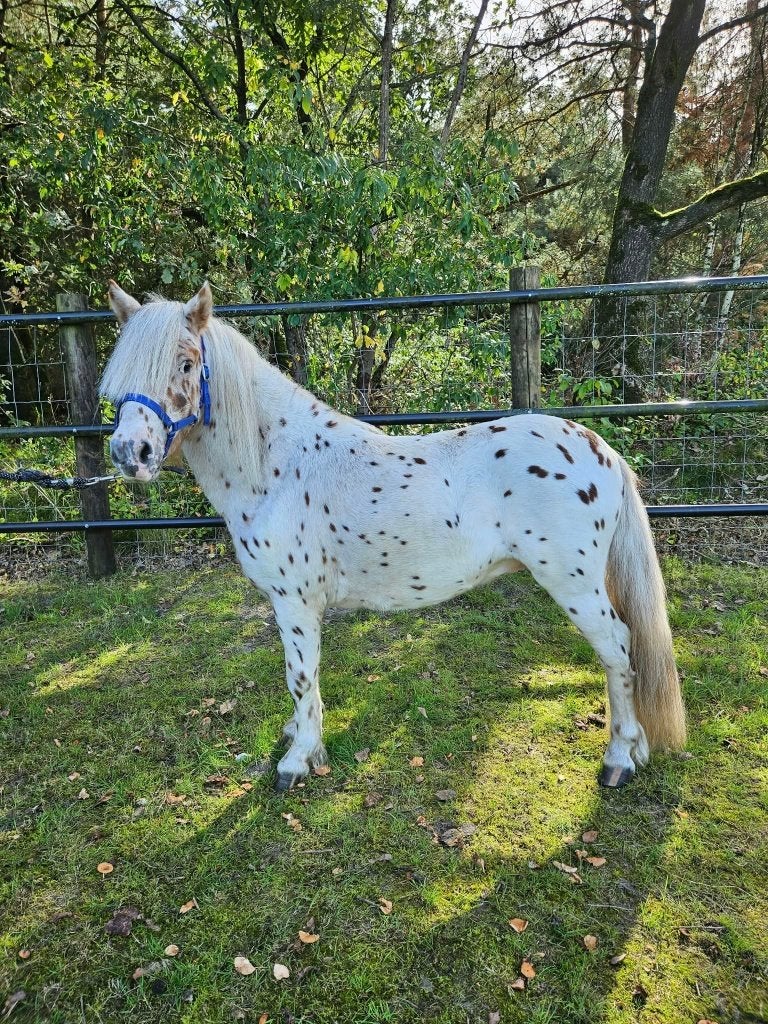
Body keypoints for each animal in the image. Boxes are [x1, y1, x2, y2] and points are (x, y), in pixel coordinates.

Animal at [101, 281, 686, 792]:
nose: (131, 453)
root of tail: (599, 448)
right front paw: (300, 738)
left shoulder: (293, 601)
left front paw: (297, 760)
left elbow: (300, 676)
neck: (277, 466)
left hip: (574, 585)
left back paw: (618, 759)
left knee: (618, 649)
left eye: (185, 363)